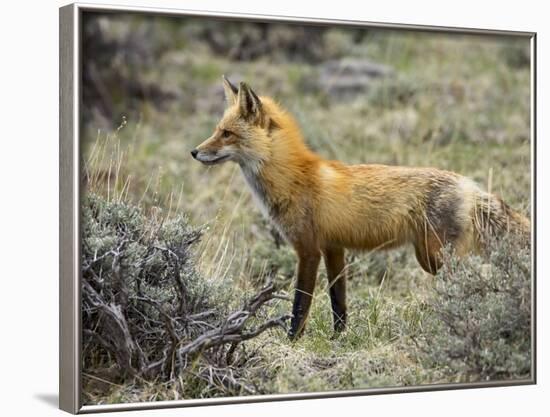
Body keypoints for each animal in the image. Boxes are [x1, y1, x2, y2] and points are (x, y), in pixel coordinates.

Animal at [192, 76, 532, 340]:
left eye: (227, 134)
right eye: (217, 130)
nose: (194, 152)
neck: (294, 178)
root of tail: (470, 185)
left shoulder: (308, 250)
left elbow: (300, 304)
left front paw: (292, 341)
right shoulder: (333, 248)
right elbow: (338, 302)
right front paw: (339, 338)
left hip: (437, 258)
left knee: (479, 280)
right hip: (429, 257)